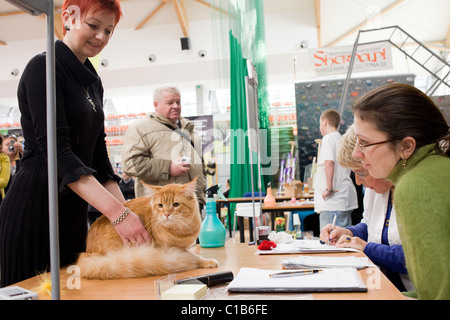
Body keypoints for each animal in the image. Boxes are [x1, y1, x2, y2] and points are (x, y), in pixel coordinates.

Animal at [75, 178, 218, 280]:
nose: (166, 214)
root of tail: (88, 252)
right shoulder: (170, 250)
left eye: (176, 204)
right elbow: (194, 256)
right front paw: (206, 261)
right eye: (160, 205)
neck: (181, 230)